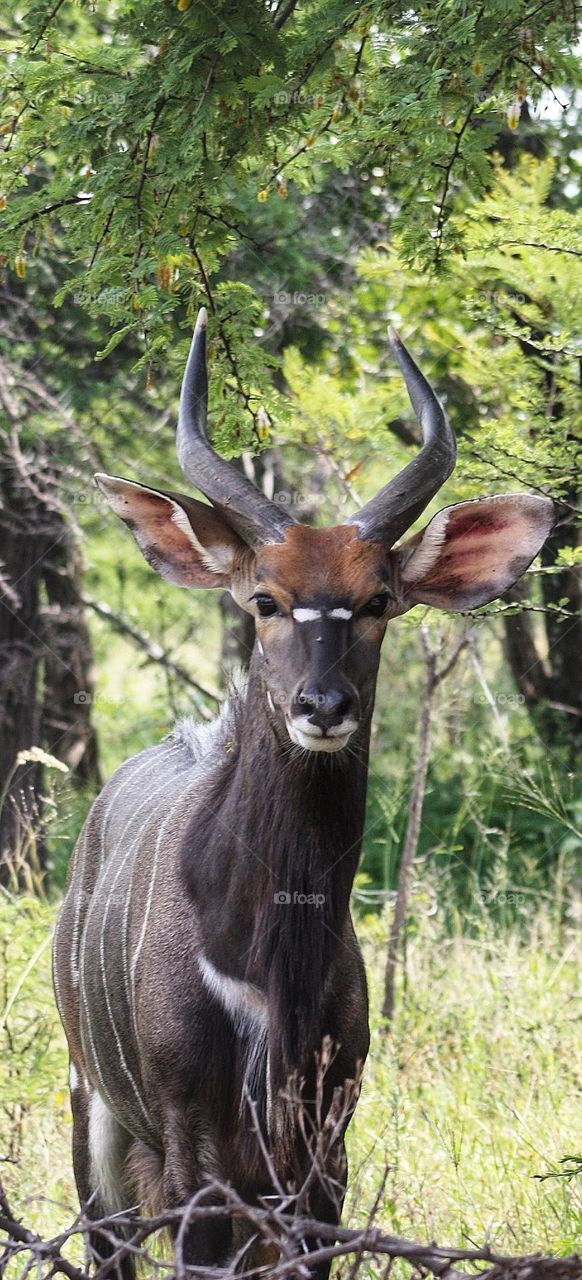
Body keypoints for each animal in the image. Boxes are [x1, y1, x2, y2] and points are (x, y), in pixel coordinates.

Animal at [53, 312, 555, 1280]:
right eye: (265, 599)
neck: (268, 956)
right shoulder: (196, 1151)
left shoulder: (324, 1152)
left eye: (379, 600)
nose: (323, 706)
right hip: (92, 1121)